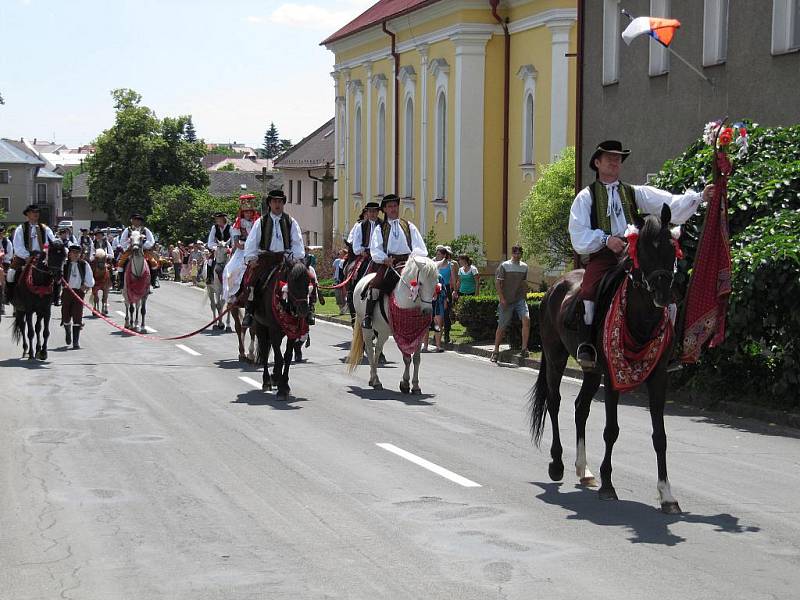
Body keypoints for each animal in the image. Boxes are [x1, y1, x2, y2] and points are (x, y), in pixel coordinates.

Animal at [346, 256, 440, 394]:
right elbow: (406, 358)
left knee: (376, 351)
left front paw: (413, 385)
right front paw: (405, 384)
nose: (427, 311)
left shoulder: (417, 334)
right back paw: (375, 380)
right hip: (371, 330)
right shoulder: (400, 333)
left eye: (436, 284)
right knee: (372, 351)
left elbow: (415, 358)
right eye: (421, 283)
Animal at [528, 204, 684, 512]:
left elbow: (660, 436)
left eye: (671, 249)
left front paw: (666, 494)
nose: (663, 294)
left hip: (591, 371)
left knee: (580, 408)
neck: (640, 320)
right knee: (554, 402)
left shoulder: (658, 378)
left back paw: (584, 469)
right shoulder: (613, 377)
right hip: (555, 357)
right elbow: (611, 430)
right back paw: (557, 463)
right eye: (643, 250)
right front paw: (608, 485)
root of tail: (555, 286)